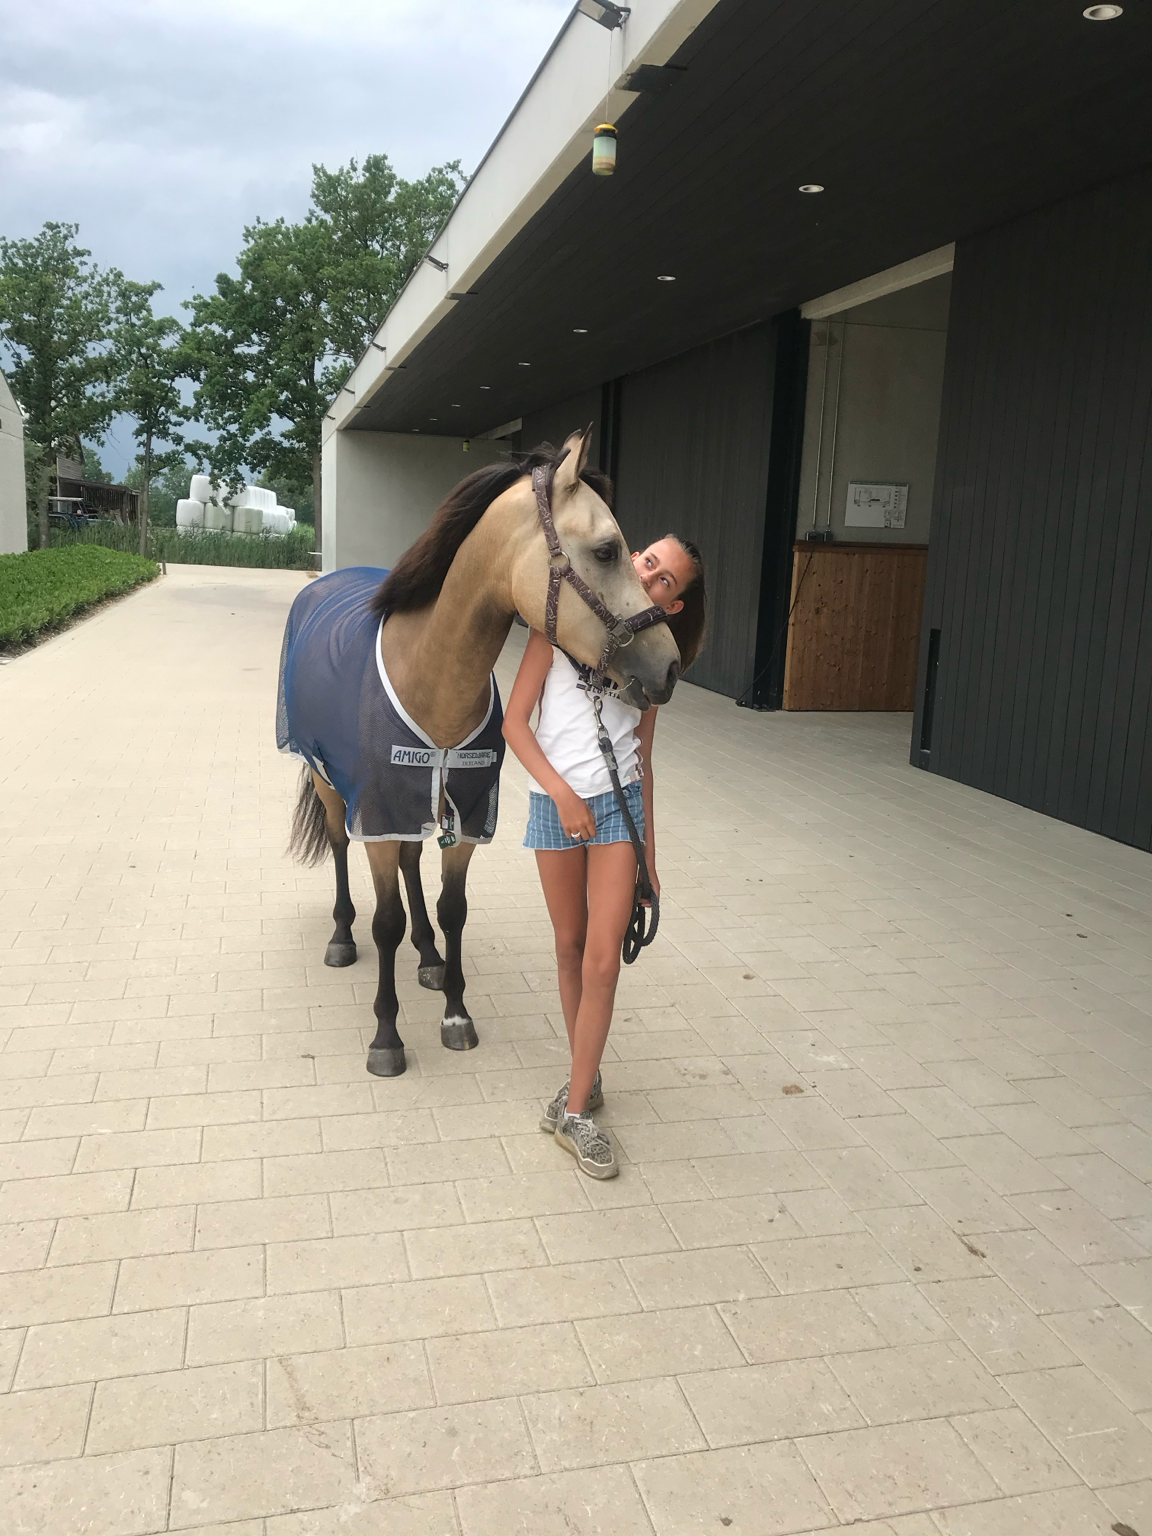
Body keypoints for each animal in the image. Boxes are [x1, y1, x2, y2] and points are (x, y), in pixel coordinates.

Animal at [278, 428, 681, 1078]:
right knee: (340, 846)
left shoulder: (466, 819)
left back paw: (427, 956)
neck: (433, 677)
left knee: (414, 864)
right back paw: (342, 938)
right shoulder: (379, 818)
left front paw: (455, 1011)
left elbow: (452, 909)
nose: (669, 666)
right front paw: (386, 1036)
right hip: (329, 784)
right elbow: (385, 921)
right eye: (606, 550)